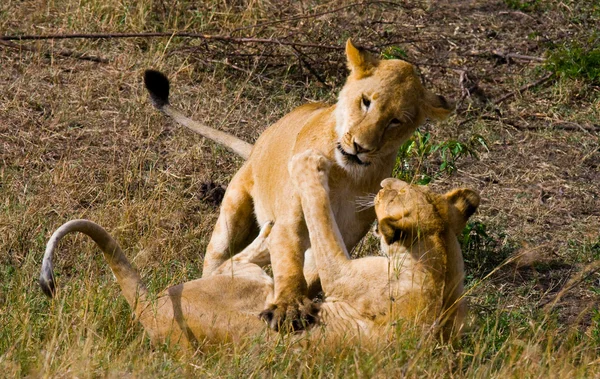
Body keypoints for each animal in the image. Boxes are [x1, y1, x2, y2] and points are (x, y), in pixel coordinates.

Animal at [38, 150, 478, 348]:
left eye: (392, 196)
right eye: (410, 188)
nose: (385, 183)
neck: (440, 265)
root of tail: (152, 309)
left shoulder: (346, 277)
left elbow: (321, 220)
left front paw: (309, 169)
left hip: (256, 286)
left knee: (230, 263)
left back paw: (268, 231)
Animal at [144, 39, 454, 330]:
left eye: (395, 121)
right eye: (366, 101)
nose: (360, 147)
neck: (346, 175)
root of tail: (257, 146)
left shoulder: (347, 231)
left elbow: (315, 272)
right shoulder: (291, 217)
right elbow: (289, 260)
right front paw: (289, 307)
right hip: (231, 217)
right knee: (217, 260)